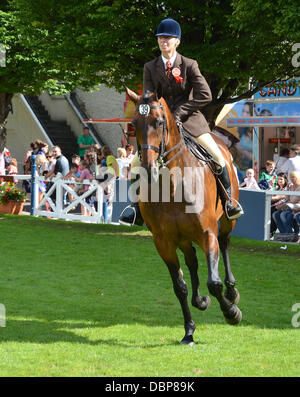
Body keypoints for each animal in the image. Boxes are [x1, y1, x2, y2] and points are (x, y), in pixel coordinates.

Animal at [126, 86, 241, 344]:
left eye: (159, 122)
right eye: (134, 124)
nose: (148, 168)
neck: (172, 185)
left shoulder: (207, 233)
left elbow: (214, 283)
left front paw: (231, 313)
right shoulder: (164, 242)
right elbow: (180, 286)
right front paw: (189, 330)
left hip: (226, 221)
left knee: (225, 244)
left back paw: (232, 291)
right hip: (183, 238)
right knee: (192, 261)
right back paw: (200, 301)